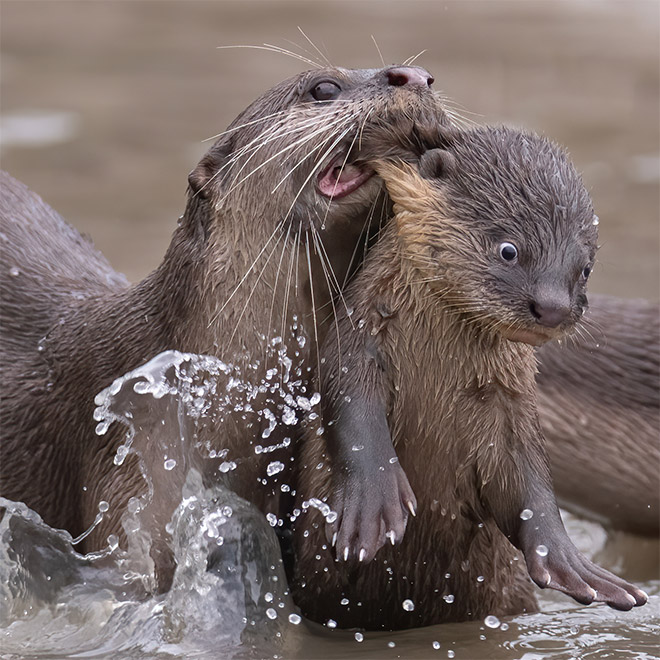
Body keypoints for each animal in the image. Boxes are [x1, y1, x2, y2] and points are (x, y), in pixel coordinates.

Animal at [292, 125, 648, 628]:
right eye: (509, 250)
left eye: (585, 269)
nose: (554, 307)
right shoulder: (357, 342)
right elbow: (352, 412)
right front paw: (373, 504)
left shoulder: (510, 401)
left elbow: (529, 480)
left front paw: (570, 562)